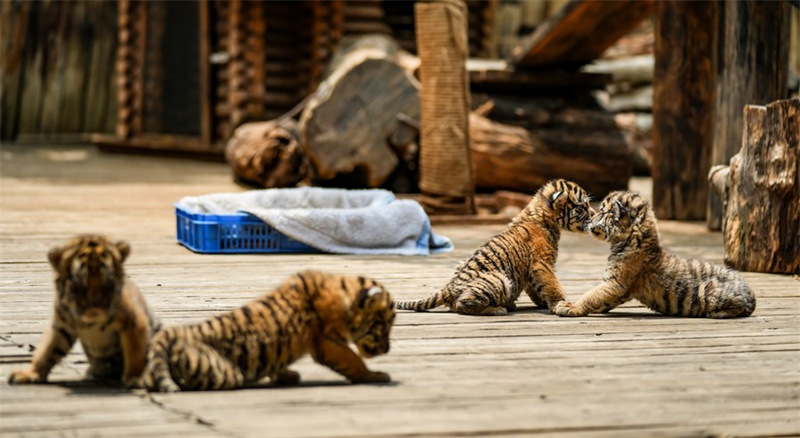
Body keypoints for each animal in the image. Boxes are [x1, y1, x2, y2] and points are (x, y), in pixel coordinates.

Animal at [8, 235, 160, 387]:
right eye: (78, 286)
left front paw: (135, 377)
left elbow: (135, 352)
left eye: (108, 284)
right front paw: (31, 373)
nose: (94, 307)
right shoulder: (61, 326)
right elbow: (46, 350)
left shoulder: (134, 322)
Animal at [140, 270, 395, 392]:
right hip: (222, 371)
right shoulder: (328, 342)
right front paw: (376, 376)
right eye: (384, 326)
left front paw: (286, 375)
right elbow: (354, 361)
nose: (387, 349)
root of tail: (176, 332)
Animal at [395, 179, 595, 316]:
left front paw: (543, 303)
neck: (542, 216)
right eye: (582, 207)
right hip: (499, 280)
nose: (594, 214)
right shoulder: (542, 264)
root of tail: (449, 286)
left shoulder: (531, 270)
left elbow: (536, 288)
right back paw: (497, 309)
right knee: (461, 305)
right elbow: (552, 285)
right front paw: (560, 304)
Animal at [554, 191, 756, 319]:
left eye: (603, 211)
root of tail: (750, 291)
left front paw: (570, 306)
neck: (630, 240)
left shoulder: (615, 283)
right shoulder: (619, 289)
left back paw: (716, 313)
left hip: (709, 291)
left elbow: (591, 296)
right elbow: (600, 300)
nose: (590, 218)